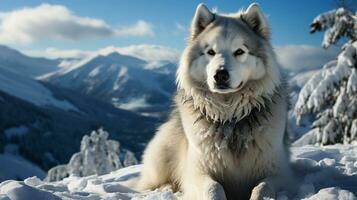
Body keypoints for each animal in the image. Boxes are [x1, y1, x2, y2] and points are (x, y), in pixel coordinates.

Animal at [136, 3, 292, 200]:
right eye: (211, 52)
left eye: (239, 51)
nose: (220, 75)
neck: (230, 118)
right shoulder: (197, 172)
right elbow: (213, 187)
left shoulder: (279, 174)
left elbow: (262, 188)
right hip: (161, 155)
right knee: (148, 185)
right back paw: (166, 188)